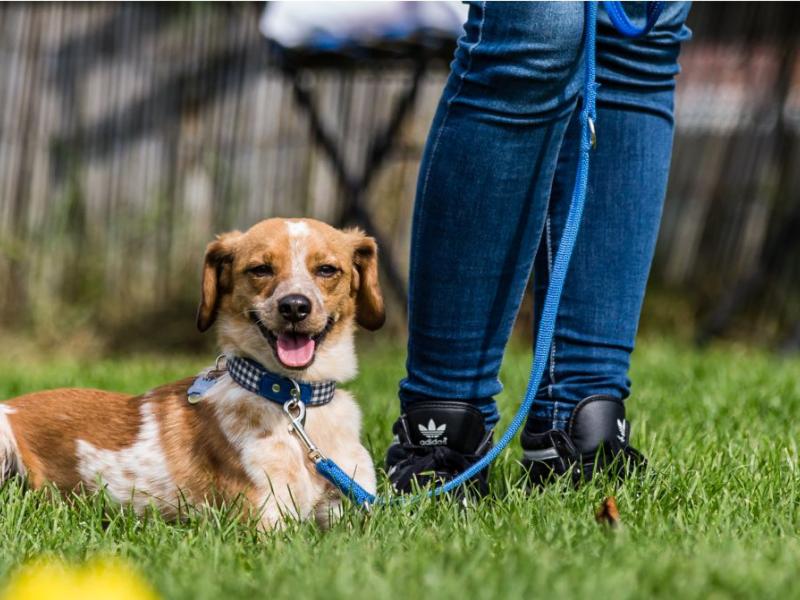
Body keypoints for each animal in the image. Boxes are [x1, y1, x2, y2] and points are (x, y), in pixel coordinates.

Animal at [0, 218, 384, 528]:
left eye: (327, 270)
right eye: (260, 269)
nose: (294, 306)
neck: (294, 400)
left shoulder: (353, 514)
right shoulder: (264, 522)